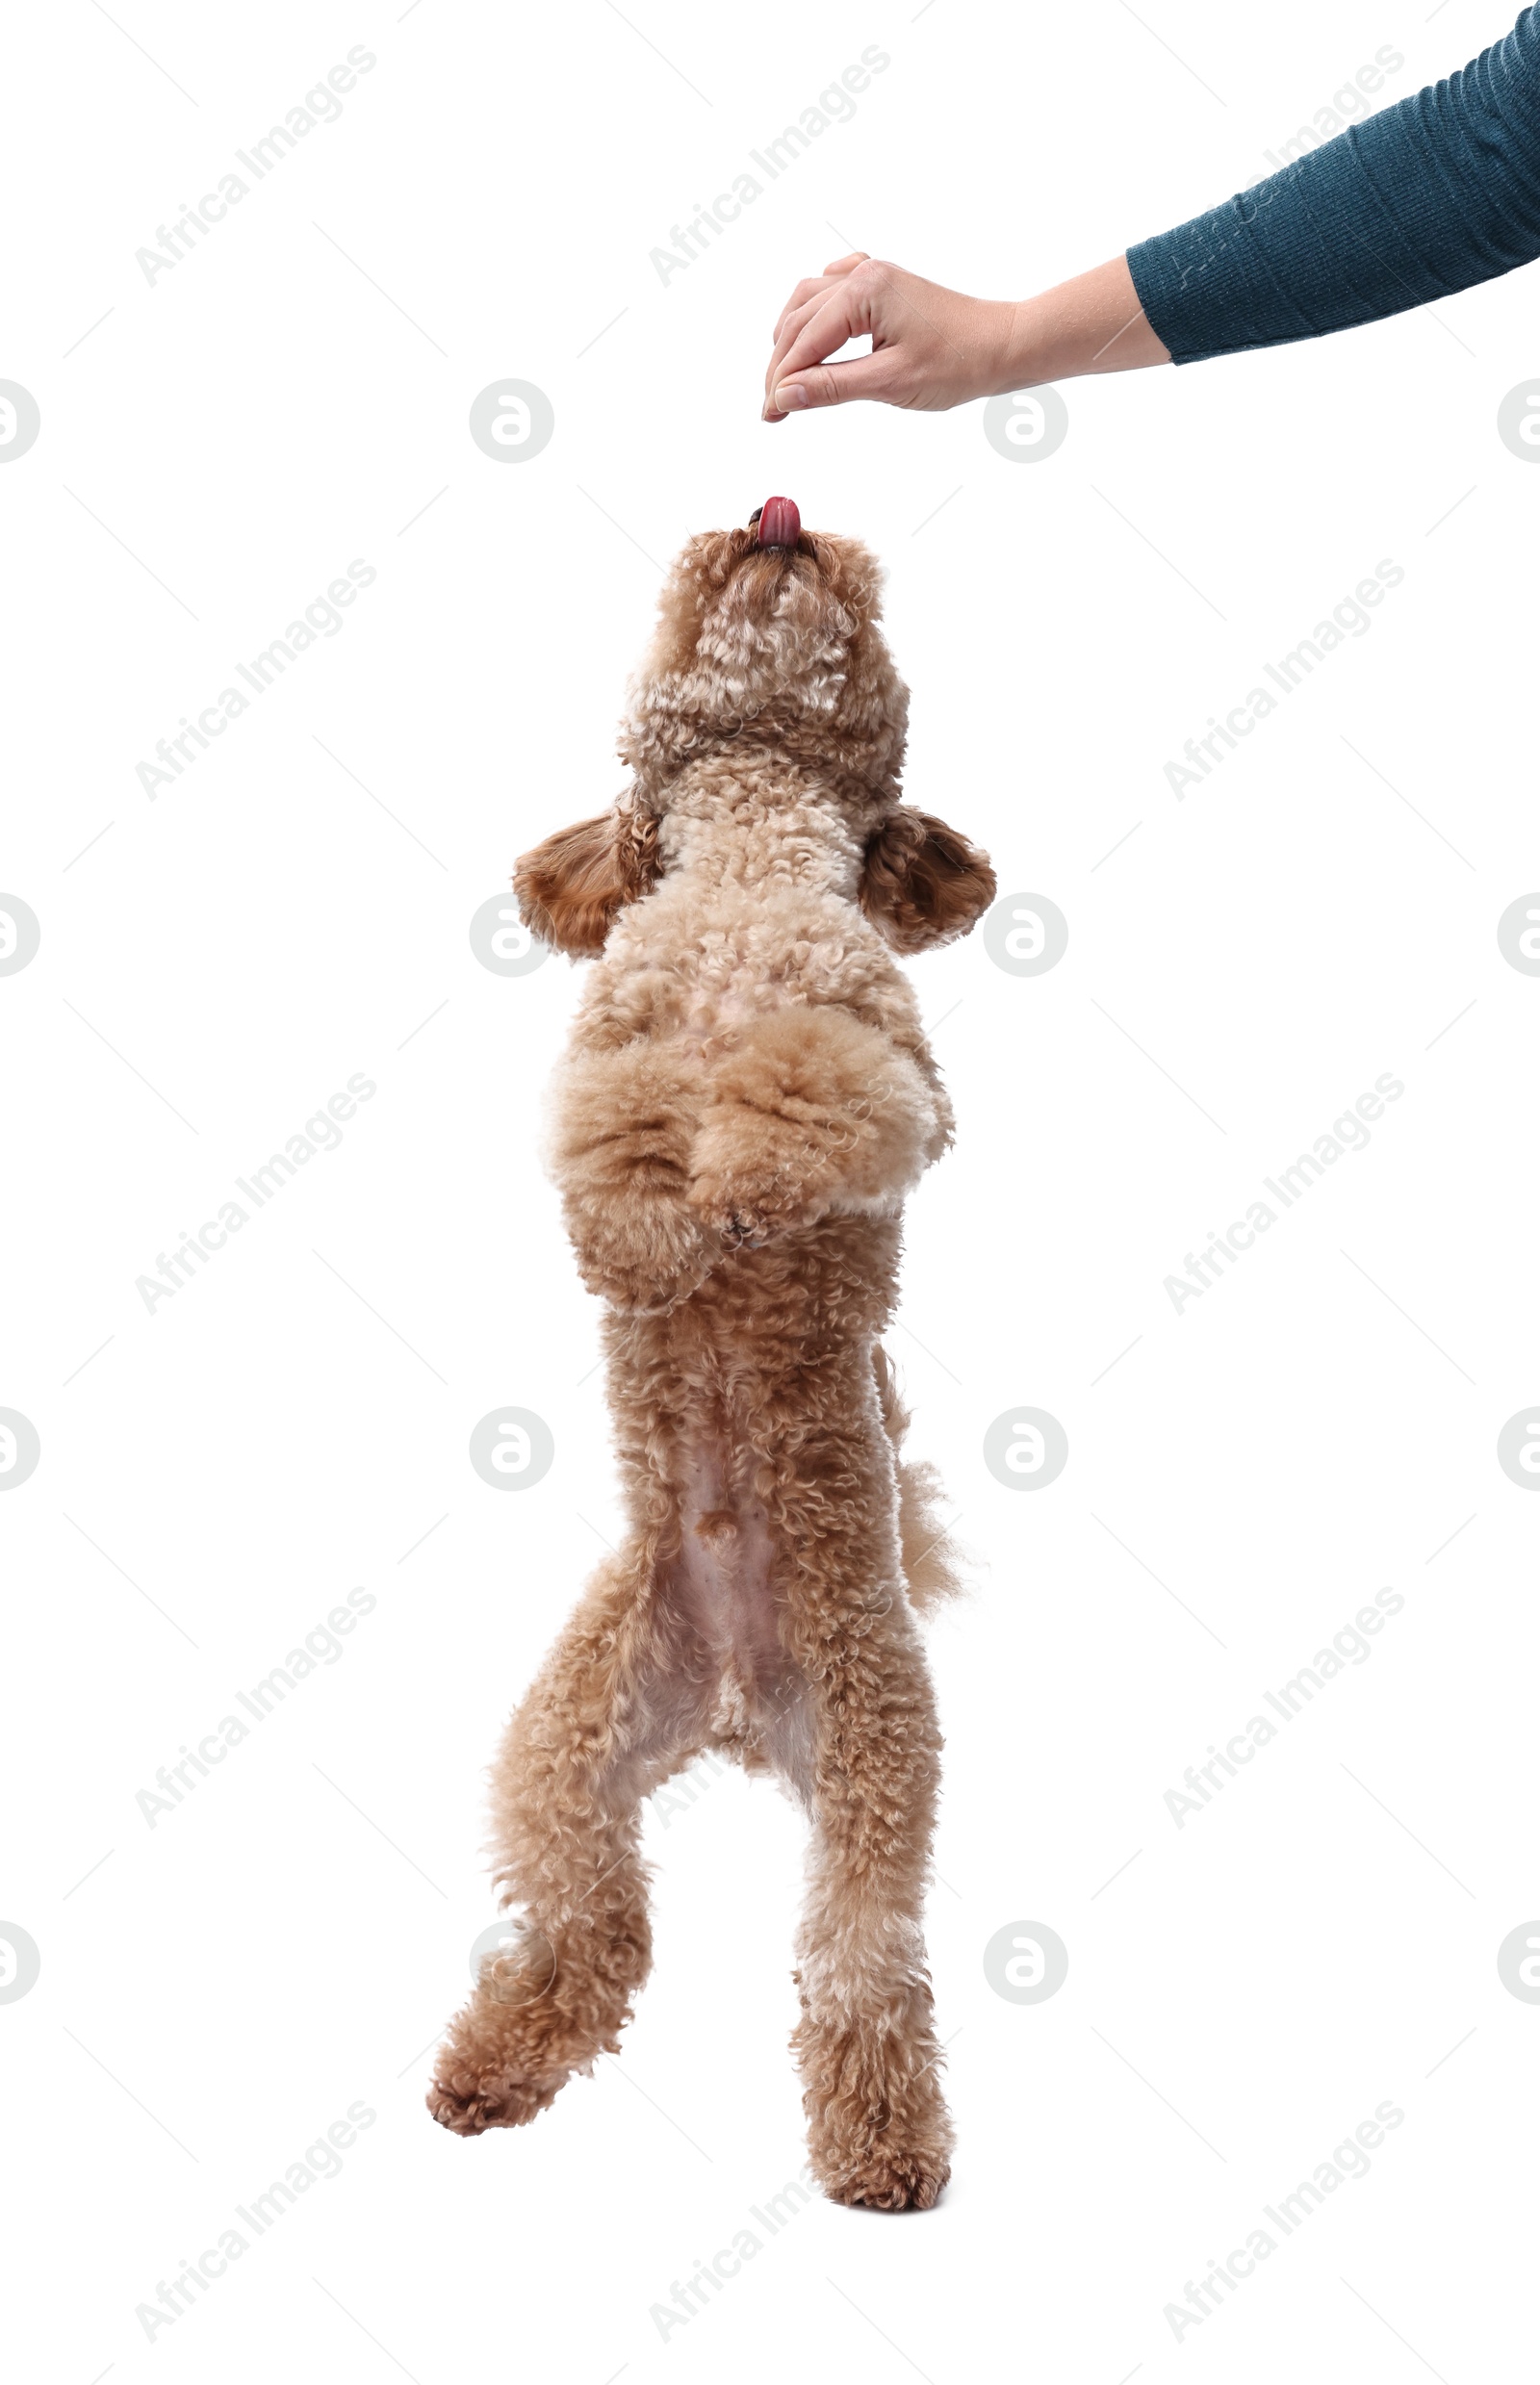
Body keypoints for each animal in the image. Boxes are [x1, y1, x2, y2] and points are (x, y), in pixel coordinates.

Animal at [428, 493, 996, 2203]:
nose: (778, 509)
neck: (744, 872)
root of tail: (740, 1702)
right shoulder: (613, 1055)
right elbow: (619, 1147)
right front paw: (660, 1238)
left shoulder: (883, 1070)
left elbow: (804, 1089)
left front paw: (742, 1187)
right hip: (564, 1752)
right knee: (590, 1931)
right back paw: (495, 2061)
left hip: (879, 1754)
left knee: (863, 1964)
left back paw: (884, 2143)